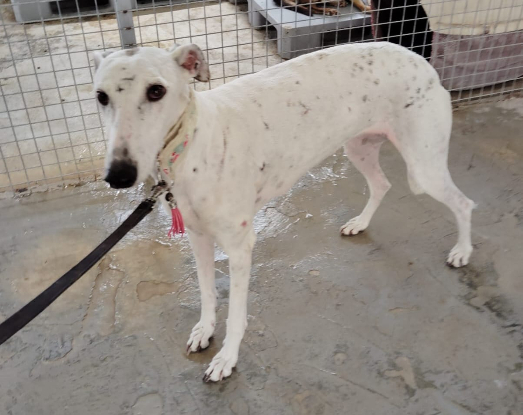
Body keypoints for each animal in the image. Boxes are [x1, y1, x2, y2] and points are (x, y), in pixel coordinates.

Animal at [93, 41, 474, 382]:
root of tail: (419, 60)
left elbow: (236, 315)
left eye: (156, 91)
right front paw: (204, 330)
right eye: (101, 97)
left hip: (425, 167)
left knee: (464, 203)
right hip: (359, 148)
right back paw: (361, 223)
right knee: (382, 185)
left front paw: (226, 359)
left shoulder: (240, 246)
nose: (118, 175)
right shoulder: (198, 238)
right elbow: (206, 294)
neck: (192, 144)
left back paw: (462, 251)